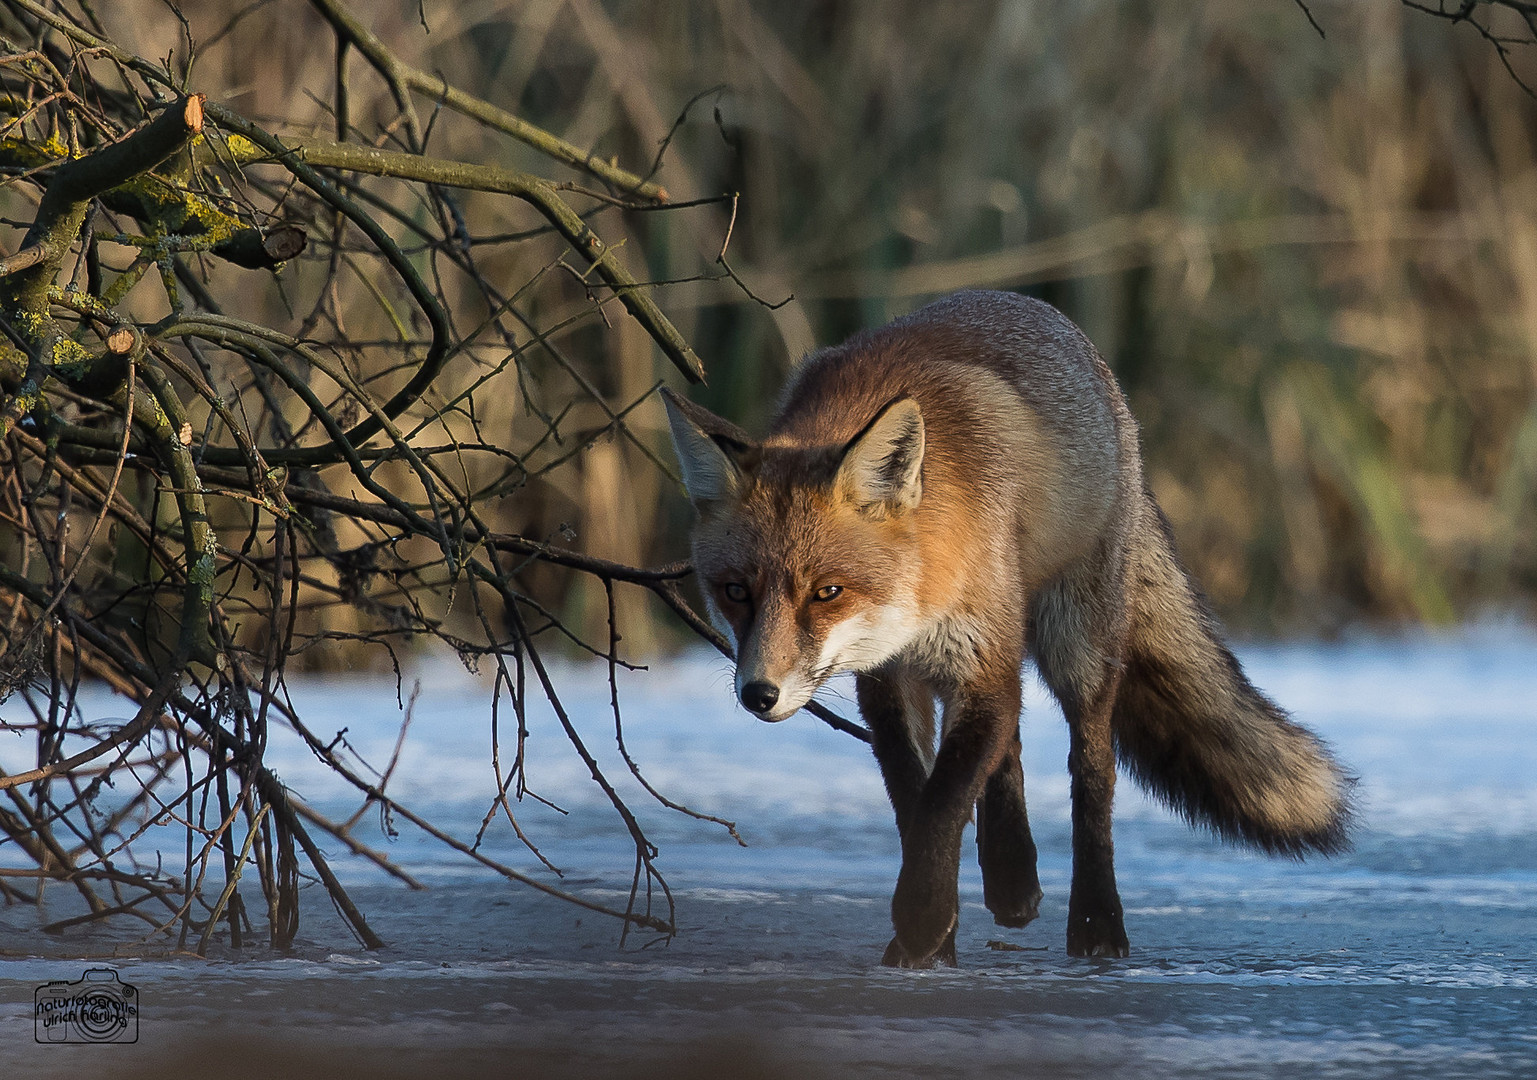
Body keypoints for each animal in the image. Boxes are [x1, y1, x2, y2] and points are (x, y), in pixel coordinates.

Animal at [654, 291, 1352, 964]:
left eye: (827, 592)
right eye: (735, 592)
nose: (759, 694)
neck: (923, 595)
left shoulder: (977, 660)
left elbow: (943, 802)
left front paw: (922, 921)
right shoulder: (887, 680)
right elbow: (916, 799)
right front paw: (937, 936)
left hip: (1076, 644)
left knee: (1091, 772)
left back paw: (1097, 922)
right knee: (1010, 743)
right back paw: (1013, 878)